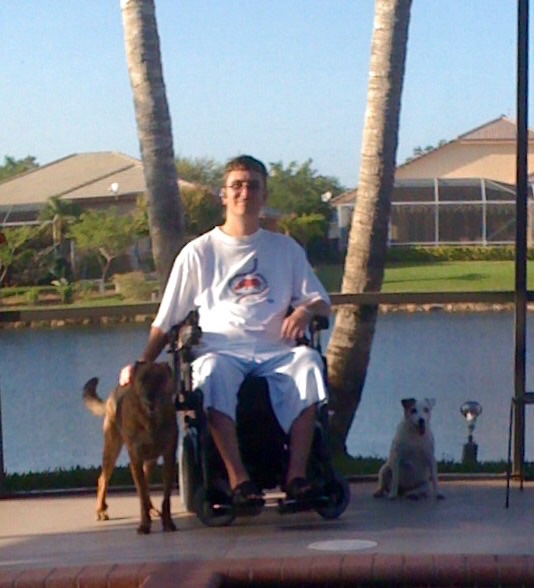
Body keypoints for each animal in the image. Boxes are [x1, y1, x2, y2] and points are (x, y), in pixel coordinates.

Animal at [83, 361, 178, 534]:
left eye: (160, 379)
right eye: (142, 380)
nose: (150, 399)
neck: (150, 422)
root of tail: (113, 393)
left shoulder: (169, 457)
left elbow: (166, 496)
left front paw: (167, 522)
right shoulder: (136, 458)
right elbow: (141, 495)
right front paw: (144, 525)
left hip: (150, 460)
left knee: (145, 483)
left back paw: (151, 508)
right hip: (112, 448)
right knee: (103, 479)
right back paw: (100, 510)